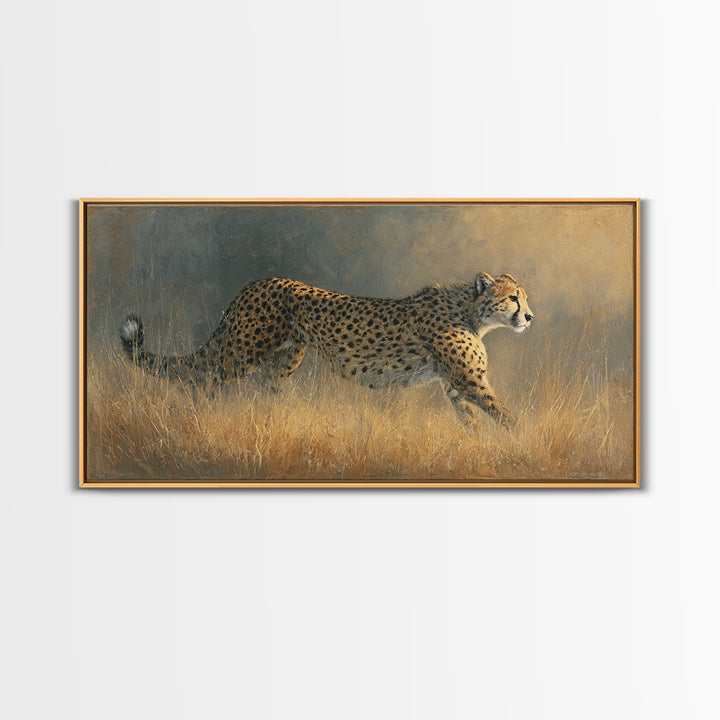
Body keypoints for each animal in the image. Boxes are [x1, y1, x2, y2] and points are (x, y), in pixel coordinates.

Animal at [119, 272, 534, 426]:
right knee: (203, 381)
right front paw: (521, 442)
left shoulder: (455, 384)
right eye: (513, 297)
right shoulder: (469, 380)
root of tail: (256, 281)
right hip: (240, 353)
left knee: (266, 393)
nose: (529, 317)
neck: (470, 311)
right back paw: (198, 420)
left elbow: (472, 419)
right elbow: (504, 415)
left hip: (285, 361)